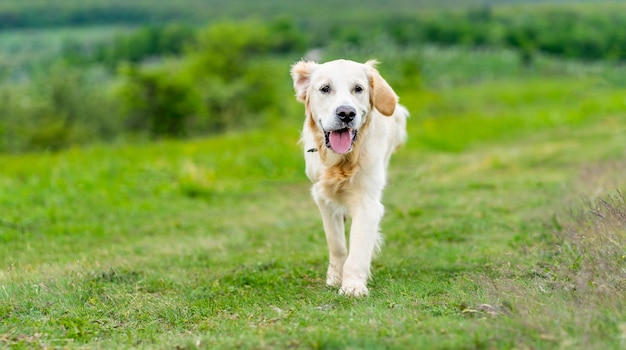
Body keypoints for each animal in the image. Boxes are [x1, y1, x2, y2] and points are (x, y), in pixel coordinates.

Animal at [290, 59, 408, 296]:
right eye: (325, 88)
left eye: (358, 89)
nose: (346, 113)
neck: (342, 162)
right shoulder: (323, 198)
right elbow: (336, 244)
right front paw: (335, 277)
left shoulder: (367, 201)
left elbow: (359, 246)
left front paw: (353, 286)